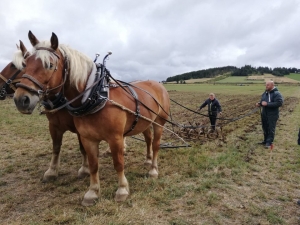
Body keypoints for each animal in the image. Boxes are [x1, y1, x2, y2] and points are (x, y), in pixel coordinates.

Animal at [14, 31, 170, 206]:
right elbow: (93, 164)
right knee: (149, 139)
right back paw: (148, 161)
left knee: (156, 144)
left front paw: (122, 189)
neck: (96, 96)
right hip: (145, 122)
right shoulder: (86, 137)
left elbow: (118, 163)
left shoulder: (115, 138)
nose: (21, 99)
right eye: (25, 64)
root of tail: (157, 84)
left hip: (159, 123)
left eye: (49, 65)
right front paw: (92, 192)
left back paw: (153, 170)